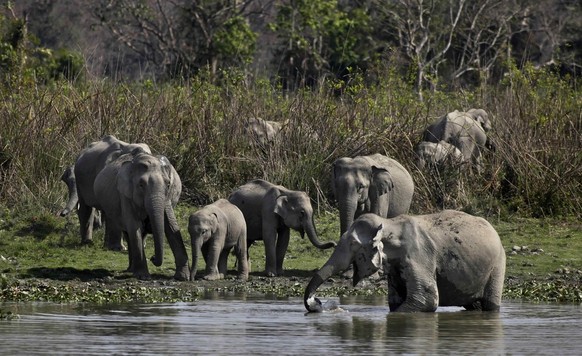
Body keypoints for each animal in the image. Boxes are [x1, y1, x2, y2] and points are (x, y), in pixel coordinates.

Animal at [93, 147, 189, 280]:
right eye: (141, 185)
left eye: (168, 184)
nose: (152, 258)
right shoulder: (125, 194)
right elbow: (134, 227)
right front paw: (143, 276)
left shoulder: (167, 197)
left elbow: (172, 226)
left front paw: (183, 277)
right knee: (129, 233)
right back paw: (131, 270)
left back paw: (132, 269)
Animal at [306, 210, 506, 312]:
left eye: (353, 244)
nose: (318, 302)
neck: (389, 223)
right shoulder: (395, 265)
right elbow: (395, 301)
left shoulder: (419, 255)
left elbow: (426, 299)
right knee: (472, 305)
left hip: (498, 263)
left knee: (490, 303)